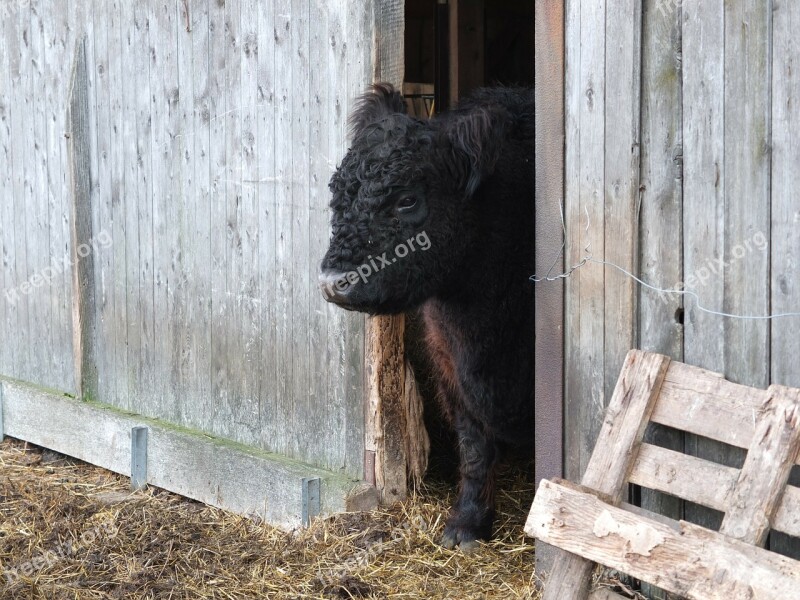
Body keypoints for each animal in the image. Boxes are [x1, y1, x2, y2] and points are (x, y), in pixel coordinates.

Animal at [316, 83, 536, 548]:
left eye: (406, 200)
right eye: (338, 192)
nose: (333, 280)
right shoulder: (451, 368)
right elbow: (474, 448)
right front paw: (466, 525)